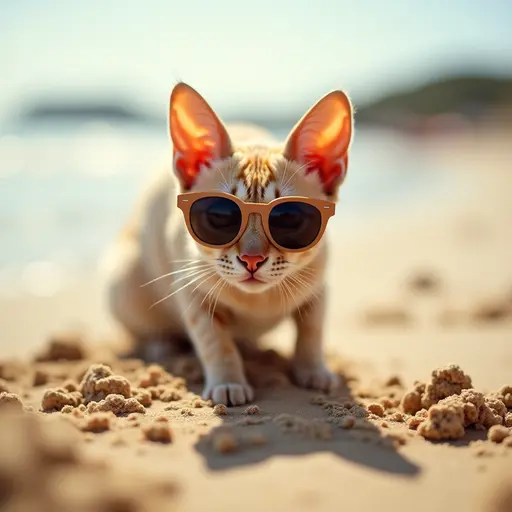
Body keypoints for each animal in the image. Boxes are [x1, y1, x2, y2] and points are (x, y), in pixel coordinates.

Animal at [104, 82, 352, 406]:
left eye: (290, 219)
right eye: (219, 216)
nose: (251, 259)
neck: (257, 302)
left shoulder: (319, 287)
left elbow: (312, 329)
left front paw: (313, 369)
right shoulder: (190, 290)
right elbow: (215, 341)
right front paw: (228, 381)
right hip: (123, 283)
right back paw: (163, 345)